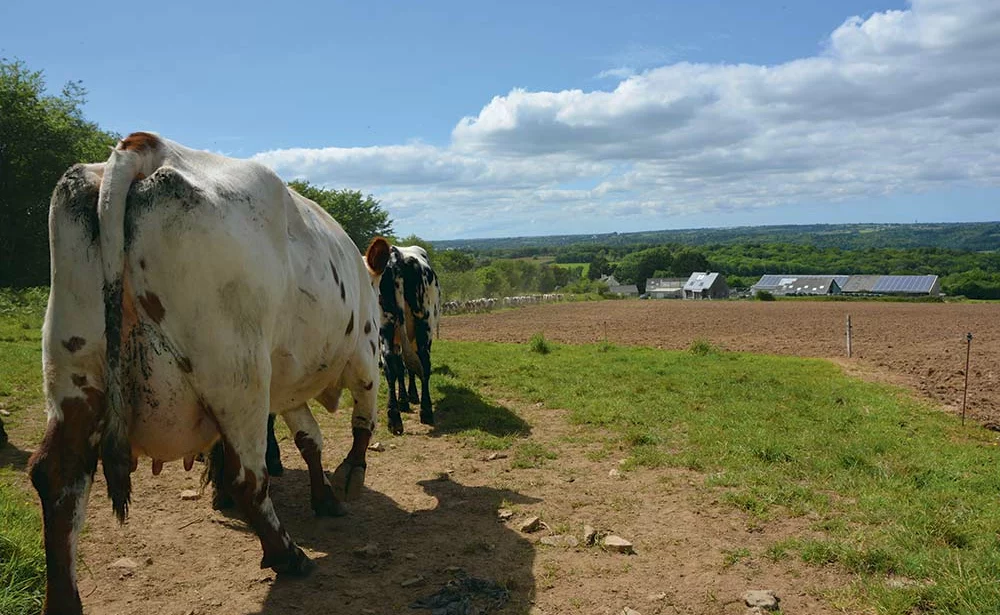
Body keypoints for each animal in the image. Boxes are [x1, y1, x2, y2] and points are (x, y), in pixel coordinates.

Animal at [376, 243, 440, 436]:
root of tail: (395, 256)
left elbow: (401, 367)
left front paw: (404, 399)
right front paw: (411, 396)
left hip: (386, 324)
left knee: (391, 366)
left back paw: (394, 419)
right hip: (424, 323)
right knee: (424, 362)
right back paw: (426, 411)